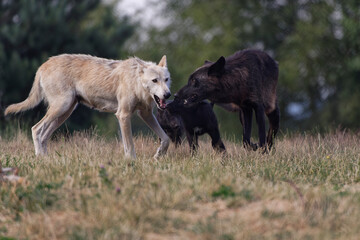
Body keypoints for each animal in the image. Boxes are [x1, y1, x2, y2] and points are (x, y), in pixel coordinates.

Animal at [4, 54, 172, 159]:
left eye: (166, 79)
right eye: (155, 80)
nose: (168, 95)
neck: (136, 81)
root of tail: (43, 65)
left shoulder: (146, 114)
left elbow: (166, 139)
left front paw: (158, 156)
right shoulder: (123, 115)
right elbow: (130, 147)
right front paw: (131, 163)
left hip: (65, 112)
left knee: (43, 136)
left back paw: (46, 159)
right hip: (61, 107)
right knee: (36, 129)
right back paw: (40, 158)